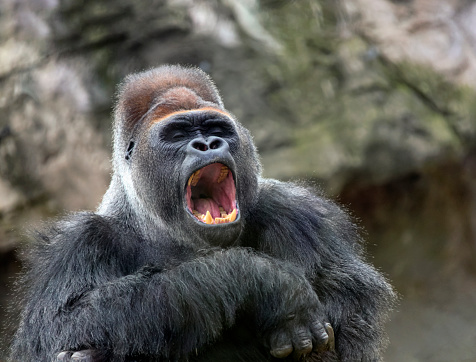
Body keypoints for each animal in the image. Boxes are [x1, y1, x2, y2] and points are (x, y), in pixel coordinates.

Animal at [10, 65, 394, 362]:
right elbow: (57, 328)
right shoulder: (77, 243)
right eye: (178, 133)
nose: (207, 144)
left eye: (216, 129)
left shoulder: (300, 214)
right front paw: (265, 281)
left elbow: (345, 335)